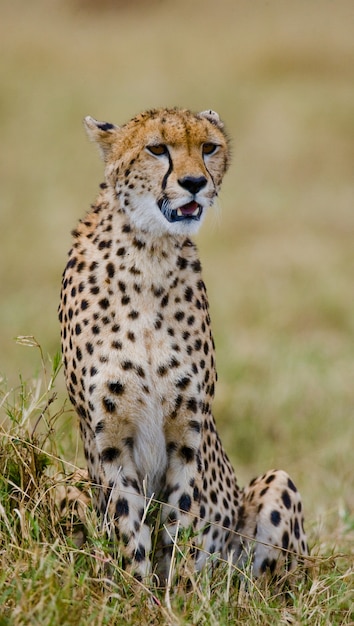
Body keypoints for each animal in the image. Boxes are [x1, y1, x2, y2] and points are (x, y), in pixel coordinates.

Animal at [59, 106, 308, 580]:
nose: (194, 182)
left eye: (209, 147)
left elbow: (183, 525)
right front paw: (138, 591)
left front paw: (180, 592)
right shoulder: (108, 442)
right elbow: (128, 530)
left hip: (276, 487)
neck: (147, 253)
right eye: (157, 149)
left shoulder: (188, 432)